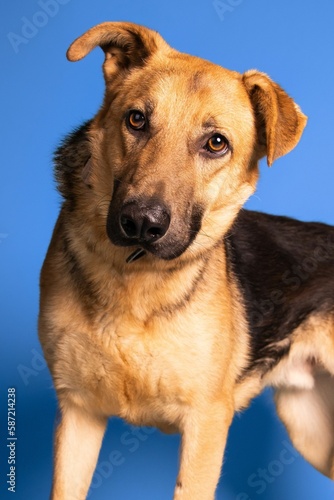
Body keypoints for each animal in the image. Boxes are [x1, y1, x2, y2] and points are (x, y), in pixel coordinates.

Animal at [39, 20, 334, 500]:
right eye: (136, 120)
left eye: (216, 143)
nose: (141, 222)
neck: (135, 277)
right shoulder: (78, 413)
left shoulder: (206, 424)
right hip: (311, 428)